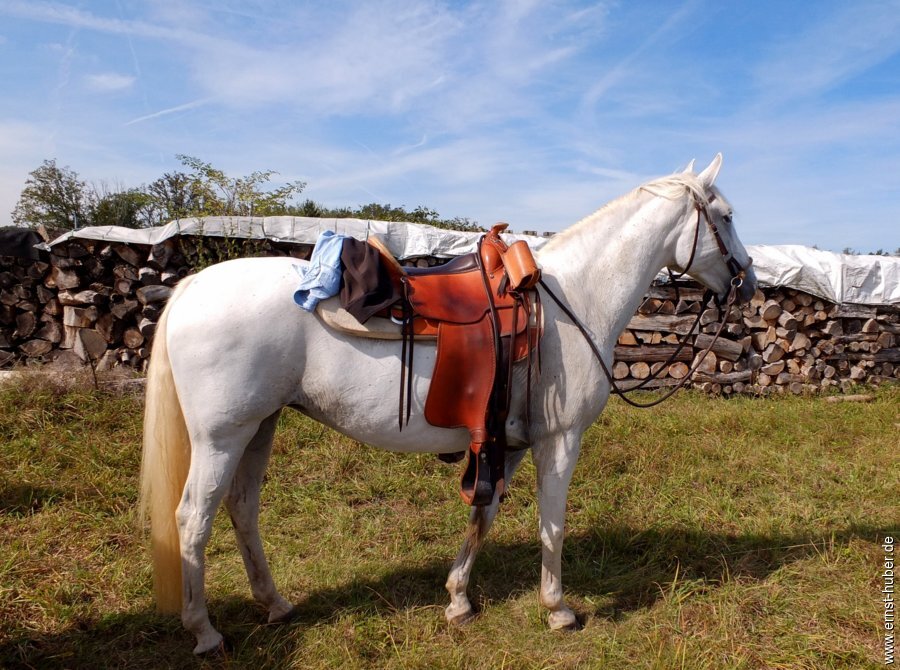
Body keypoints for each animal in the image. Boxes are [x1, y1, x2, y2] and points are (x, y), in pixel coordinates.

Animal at [142, 155, 760, 652]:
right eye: (727, 216)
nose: (749, 283)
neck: (576, 300)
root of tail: (192, 287)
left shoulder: (507, 440)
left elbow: (483, 516)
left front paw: (459, 599)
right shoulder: (559, 440)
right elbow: (552, 525)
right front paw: (557, 609)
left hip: (260, 425)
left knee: (242, 509)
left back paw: (274, 604)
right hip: (223, 436)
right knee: (192, 519)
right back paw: (205, 632)